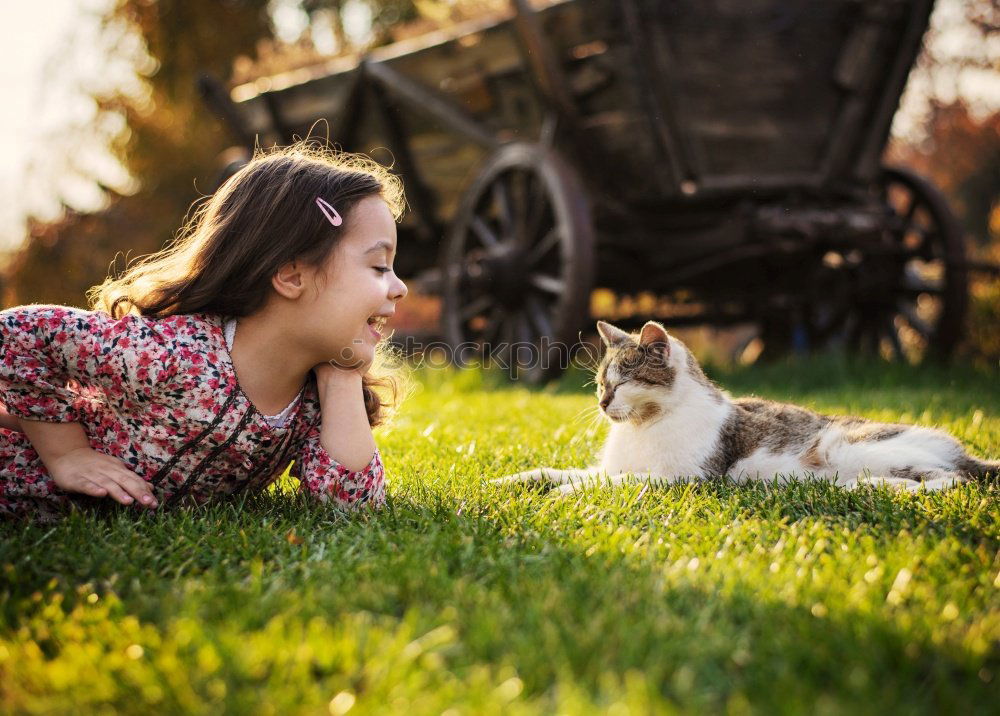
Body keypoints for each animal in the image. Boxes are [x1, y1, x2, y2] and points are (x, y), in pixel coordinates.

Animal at [494, 322, 1000, 496]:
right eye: (601, 383)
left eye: (620, 383)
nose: (602, 403)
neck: (643, 427)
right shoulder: (607, 466)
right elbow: (559, 472)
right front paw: (514, 480)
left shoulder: (688, 478)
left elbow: (621, 481)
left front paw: (565, 494)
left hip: (847, 446)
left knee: (948, 481)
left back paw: (868, 487)